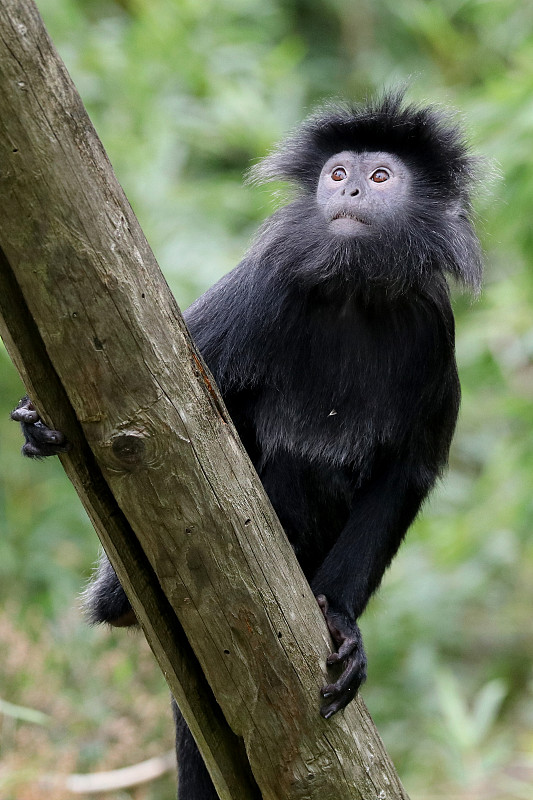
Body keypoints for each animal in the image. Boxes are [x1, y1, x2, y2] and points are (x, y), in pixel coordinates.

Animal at [14, 95, 482, 800]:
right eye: (338, 172)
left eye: (379, 178)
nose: (346, 190)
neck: (354, 294)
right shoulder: (263, 289)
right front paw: (40, 426)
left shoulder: (433, 326)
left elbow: (403, 475)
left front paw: (342, 621)